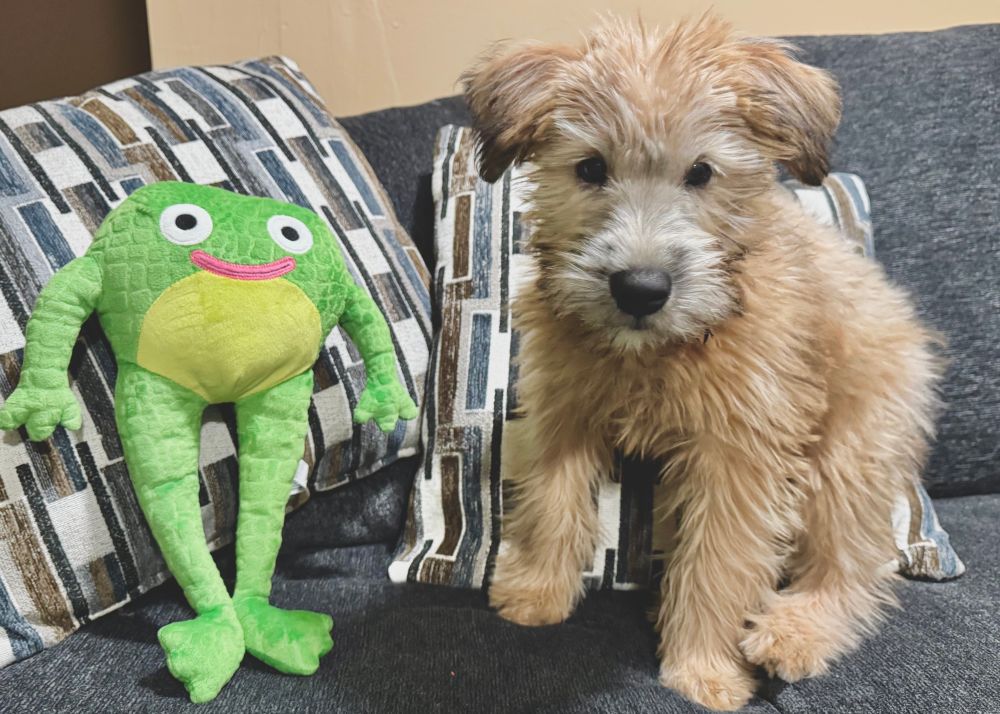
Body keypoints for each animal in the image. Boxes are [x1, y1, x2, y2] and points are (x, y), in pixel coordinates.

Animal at [461, 14, 942, 711]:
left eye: (702, 173)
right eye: (590, 167)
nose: (640, 289)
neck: (658, 352)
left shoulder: (738, 456)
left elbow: (719, 561)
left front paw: (702, 670)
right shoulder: (565, 407)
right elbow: (554, 500)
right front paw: (538, 592)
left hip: (849, 455)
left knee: (850, 568)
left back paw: (795, 630)